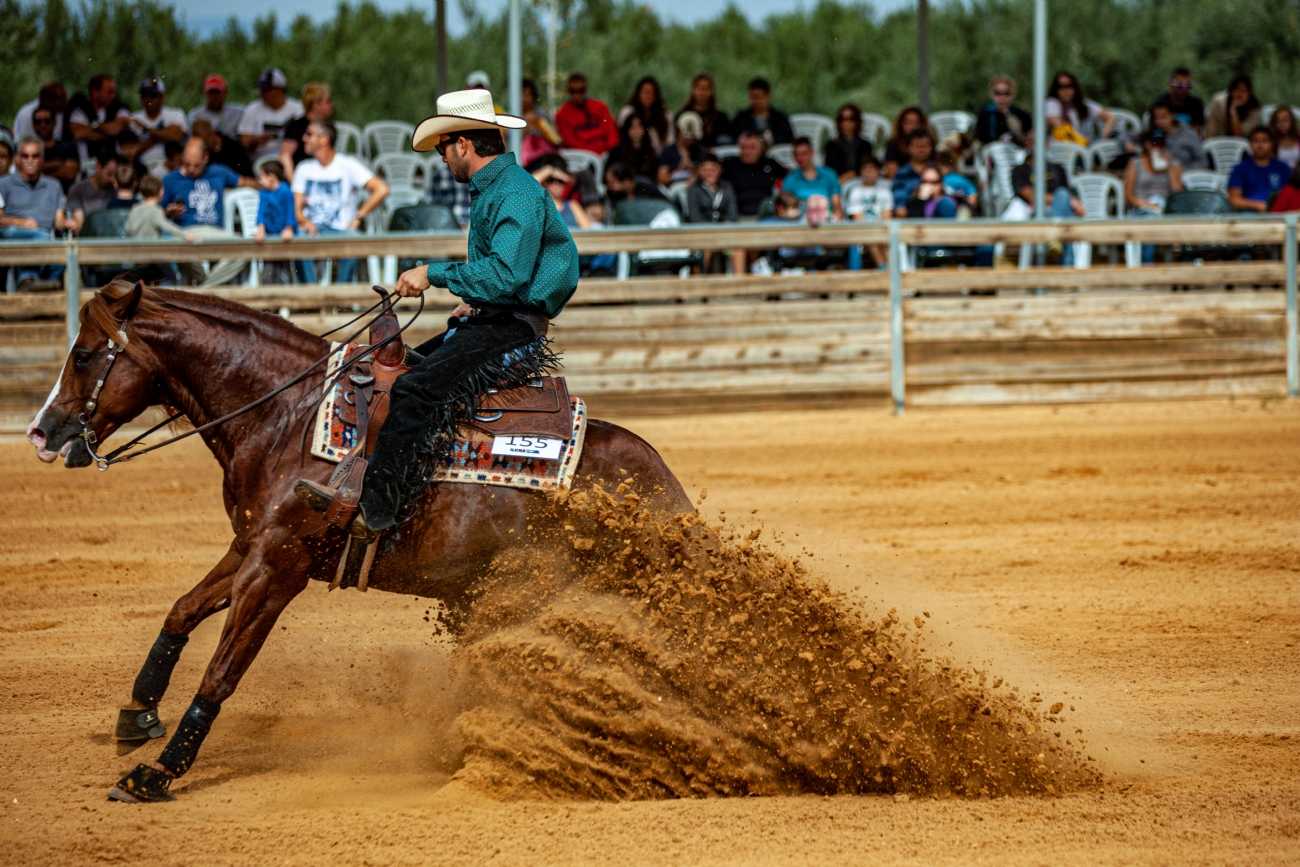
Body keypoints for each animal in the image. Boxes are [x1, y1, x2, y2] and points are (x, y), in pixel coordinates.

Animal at [25, 282, 691, 805]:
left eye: (83, 354)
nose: (40, 432)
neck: (286, 416)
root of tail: (665, 487)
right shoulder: (249, 547)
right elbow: (181, 612)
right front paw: (138, 714)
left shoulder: (278, 568)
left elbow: (222, 672)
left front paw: (157, 774)